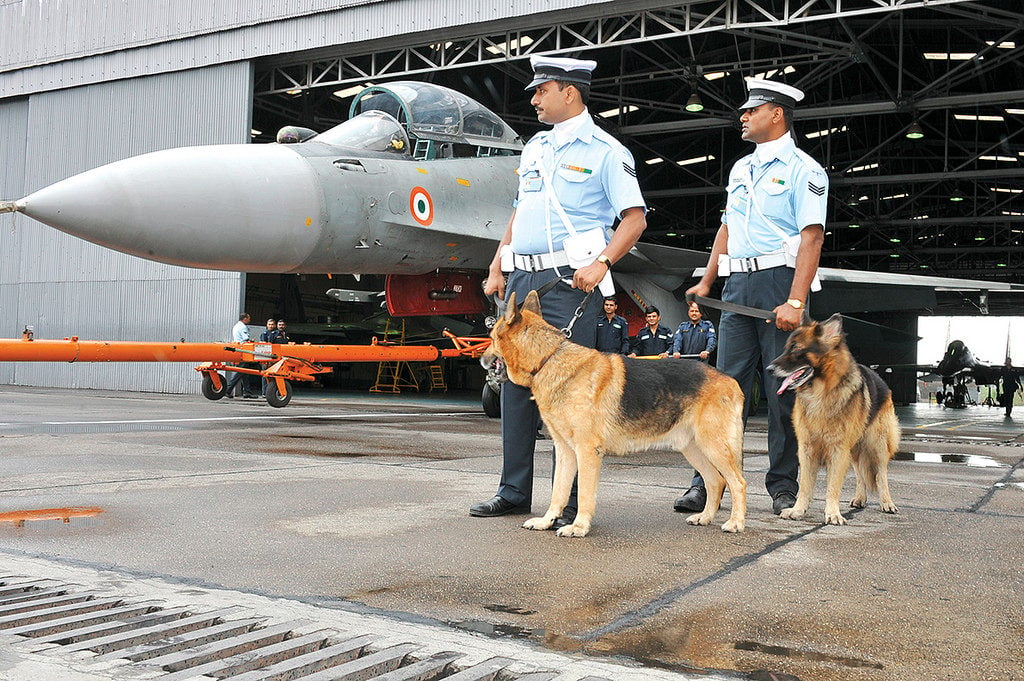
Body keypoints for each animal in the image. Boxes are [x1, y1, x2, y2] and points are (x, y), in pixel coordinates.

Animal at [483, 288, 749, 540]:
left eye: (492, 337)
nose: (481, 359)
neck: (549, 359)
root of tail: (731, 381)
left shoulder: (587, 451)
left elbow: (584, 494)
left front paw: (578, 526)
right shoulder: (565, 451)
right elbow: (558, 491)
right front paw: (547, 521)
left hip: (714, 447)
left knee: (737, 482)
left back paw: (736, 523)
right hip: (693, 448)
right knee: (716, 481)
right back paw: (705, 517)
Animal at [770, 313, 901, 524]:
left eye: (796, 349)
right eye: (787, 347)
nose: (769, 369)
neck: (821, 392)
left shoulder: (838, 450)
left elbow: (833, 486)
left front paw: (832, 513)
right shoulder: (807, 450)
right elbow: (805, 485)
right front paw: (798, 510)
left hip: (877, 445)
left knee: (881, 474)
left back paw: (887, 502)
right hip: (855, 449)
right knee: (860, 473)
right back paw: (860, 497)